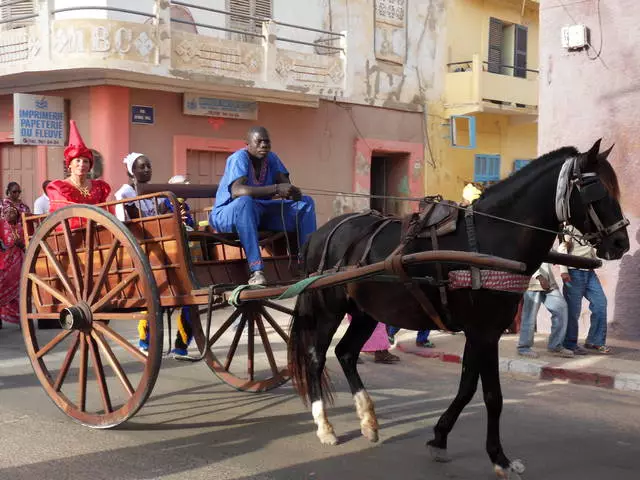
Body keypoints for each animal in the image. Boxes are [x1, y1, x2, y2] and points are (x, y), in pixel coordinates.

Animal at [288, 140, 628, 476]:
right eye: (594, 187)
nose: (621, 243)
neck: (491, 238)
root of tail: (320, 233)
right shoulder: (484, 332)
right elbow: (492, 396)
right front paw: (499, 458)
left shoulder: (479, 332)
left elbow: (466, 387)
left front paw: (439, 438)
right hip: (328, 309)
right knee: (316, 357)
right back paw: (325, 426)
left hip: (365, 312)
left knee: (345, 353)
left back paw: (368, 420)